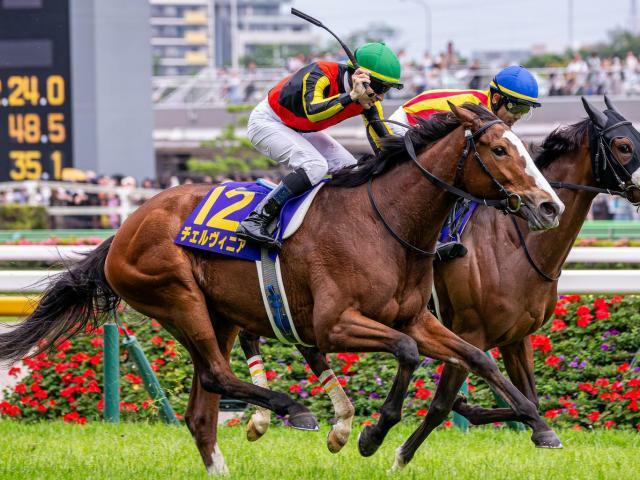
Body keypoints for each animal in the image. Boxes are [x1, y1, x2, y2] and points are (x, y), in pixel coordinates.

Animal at [0, 103, 560, 474]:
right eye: (499, 149)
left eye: (526, 150)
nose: (549, 205)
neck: (386, 222)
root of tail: (124, 228)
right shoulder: (334, 324)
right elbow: (404, 351)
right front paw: (372, 433)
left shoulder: (417, 317)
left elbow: (477, 357)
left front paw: (537, 421)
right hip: (177, 297)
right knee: (217, 377)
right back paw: (294, 410)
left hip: (218, 313)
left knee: (202, 410)